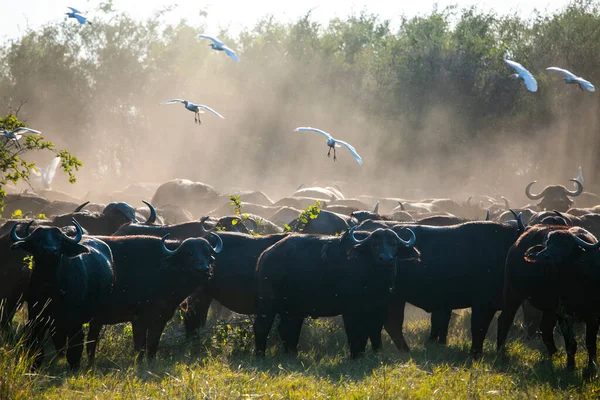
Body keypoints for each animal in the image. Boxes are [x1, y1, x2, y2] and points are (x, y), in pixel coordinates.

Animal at [253, 225, 418, 360]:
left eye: (394, 244)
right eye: (374, 245)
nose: (385, 259)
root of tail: (265, 255)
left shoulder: (379, 308)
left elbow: (372, 332)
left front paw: (371, 353)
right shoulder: (351, 310)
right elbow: (355, 333)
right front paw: (355, 355)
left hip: (293, 308)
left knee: (287, 328)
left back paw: (291, 354)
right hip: (268, 302)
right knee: (262, 326)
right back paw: (260, 355)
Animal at [496, 225, 600, 372]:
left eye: (565, 245)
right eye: (548, 243)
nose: (542, 255)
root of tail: (516, 244)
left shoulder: (593, 315)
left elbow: (590, 342)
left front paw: (591, 366)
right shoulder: (564, 314)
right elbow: (571, 343)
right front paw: (571, 367)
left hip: (548, 308)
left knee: (545, 328)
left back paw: (554, 354)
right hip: (512, 293)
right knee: (505, 319)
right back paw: (500, 351)